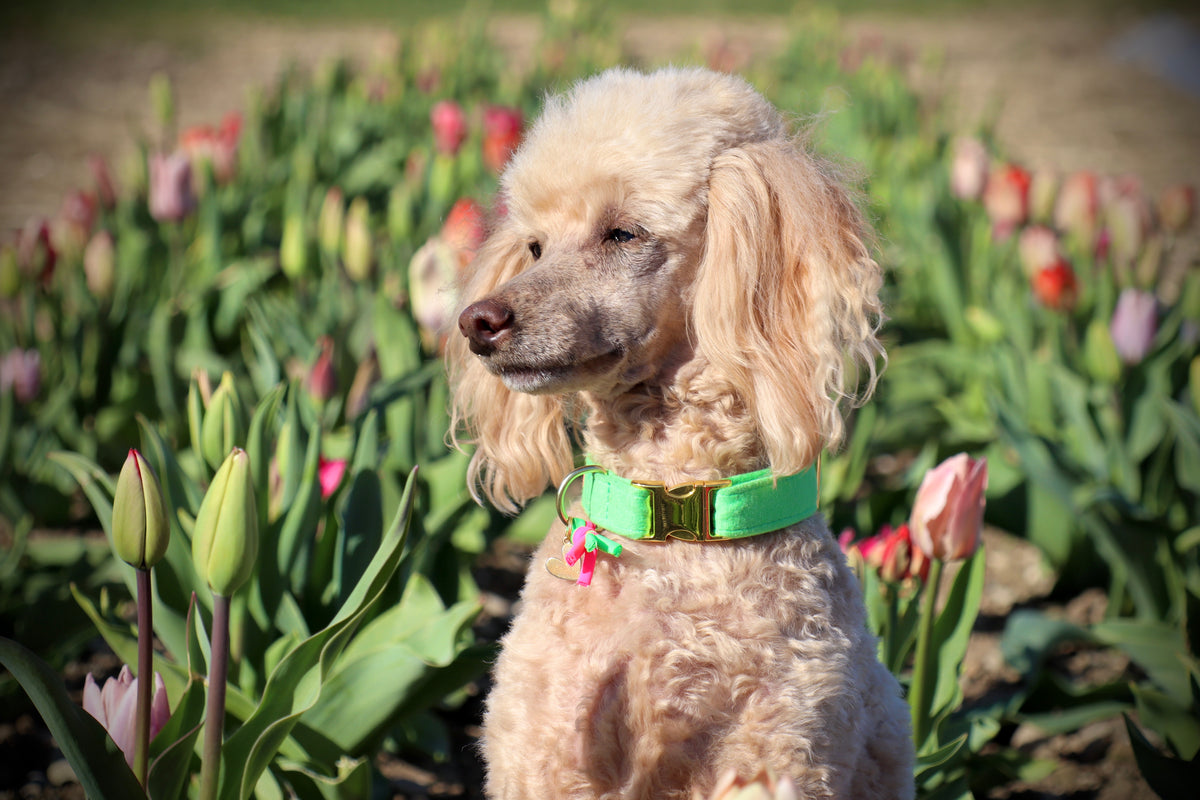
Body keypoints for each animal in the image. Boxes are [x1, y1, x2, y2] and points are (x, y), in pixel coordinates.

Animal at [448, 66, 913, 800]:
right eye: (534, 246)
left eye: (623, 234)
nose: (477, 322)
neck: (674, 518)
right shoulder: (545, 750)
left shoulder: (780, 755)